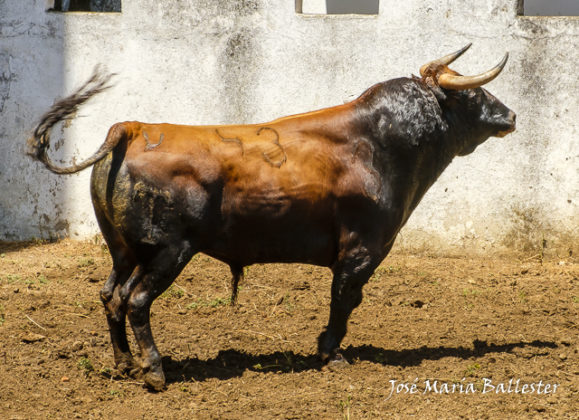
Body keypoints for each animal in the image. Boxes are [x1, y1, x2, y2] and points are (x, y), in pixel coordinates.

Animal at [28, 44, 516, 388]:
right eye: (474, 91)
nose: (510, 114)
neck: (377, 145)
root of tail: (131, 128)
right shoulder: (361, 251)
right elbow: (344, 301)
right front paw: (331, 354)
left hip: (124, 251)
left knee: (111, 296)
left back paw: (124, 364)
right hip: (167, 252)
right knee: (136, 301)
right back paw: (153, 371)